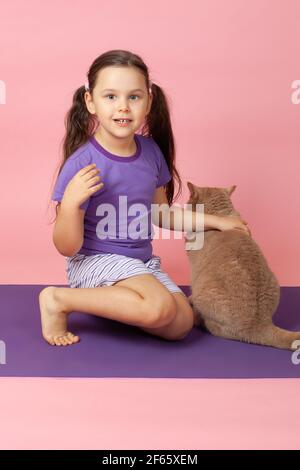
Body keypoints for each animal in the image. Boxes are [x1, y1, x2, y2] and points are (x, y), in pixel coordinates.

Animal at [186, 182, 298, 350]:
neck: (220, 215)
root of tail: (260, 323)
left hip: (203, 290)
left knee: (213, 327)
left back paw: (197, 317)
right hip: (275, 282)